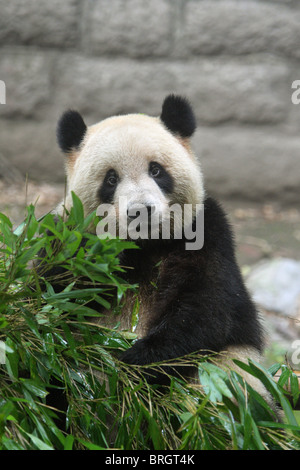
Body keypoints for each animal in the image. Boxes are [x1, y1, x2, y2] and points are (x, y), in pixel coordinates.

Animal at [53, 94, 272, 404]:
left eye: (156, 170)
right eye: (111, 179)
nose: (140, 210)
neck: (143, 246)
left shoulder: (206, 235)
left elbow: (204, 313)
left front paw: (130, 363)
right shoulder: (69, 243)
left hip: (228, 378)